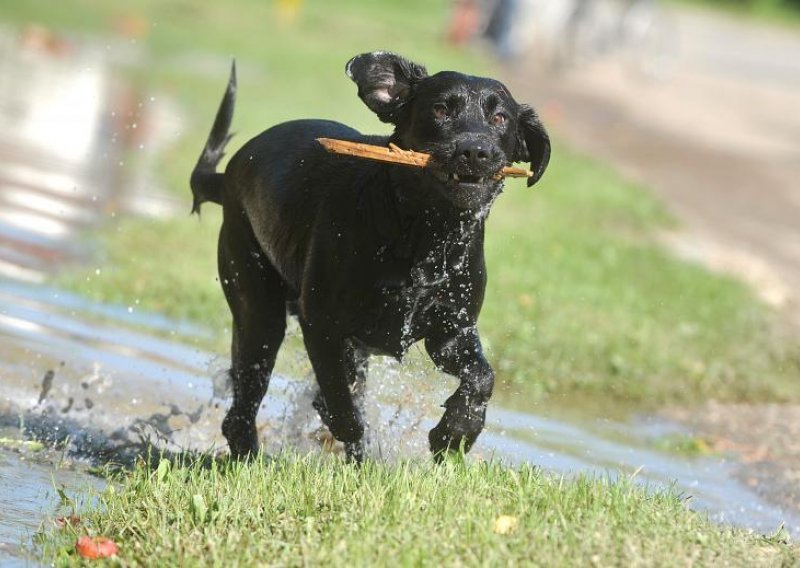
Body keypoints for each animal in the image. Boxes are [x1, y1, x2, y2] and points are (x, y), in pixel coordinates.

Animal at [191, 52, 548, 462]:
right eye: (441, 109)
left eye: (500, 118)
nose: (475, 151)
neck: (426, 236)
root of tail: (228, 173)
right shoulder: (322, 325)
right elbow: (340, 405)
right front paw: (355, 442)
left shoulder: (450, 331)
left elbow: (482, 376)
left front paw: (456, 432)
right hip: (258, 307)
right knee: (245, 401)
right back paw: (250, 455)